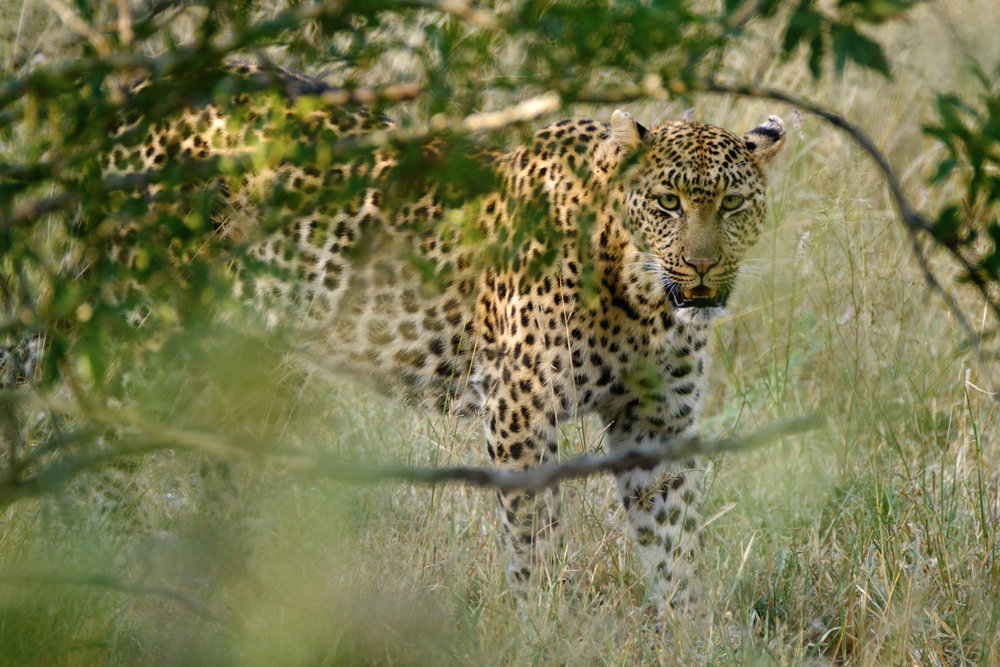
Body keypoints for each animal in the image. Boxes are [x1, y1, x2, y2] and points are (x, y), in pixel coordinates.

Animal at [104, 63, 786, 616]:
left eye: (733, 205)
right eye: (668, 203)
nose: (702, 267)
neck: (641, 300)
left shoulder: (657, 422)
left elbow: (677, 542)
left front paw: (688, 633)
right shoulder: (523, 410)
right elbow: (535, 538)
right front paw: (541, 627)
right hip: (146, 324)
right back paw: (108, 563)